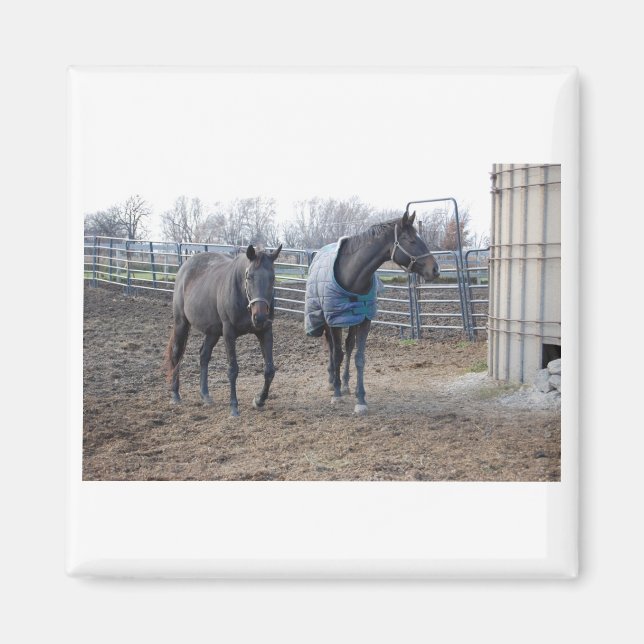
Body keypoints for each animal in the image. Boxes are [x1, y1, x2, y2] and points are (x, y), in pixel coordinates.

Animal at [164, 243, 282, 417]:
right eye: (249, 277)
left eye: (273, 278)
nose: (259, 317)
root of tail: (185, 266)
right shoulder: (228, 333)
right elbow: (233, 369)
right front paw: (234, 407)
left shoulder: (265, 331)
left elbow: (269, 370)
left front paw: (259, 400)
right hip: (181, 323)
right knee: (176, 354)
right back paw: (175, 394)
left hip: (213, 332)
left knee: (204, 355)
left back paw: (205, 395)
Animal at [304, 211, 439, 415]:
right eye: (411, 240)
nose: (435, 269)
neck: (352, 274)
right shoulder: (334, 320)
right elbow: (337, 354)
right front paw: (336, 394)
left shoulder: (364, 319)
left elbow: (359, 358)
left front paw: (360, 399)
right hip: (327, 321)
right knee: (333, 349)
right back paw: (332, 382)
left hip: (352, 319)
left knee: (348, 347)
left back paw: (345, 384)